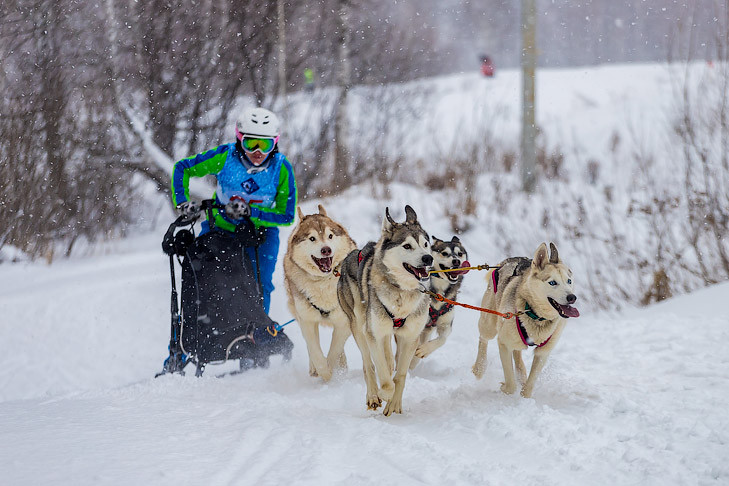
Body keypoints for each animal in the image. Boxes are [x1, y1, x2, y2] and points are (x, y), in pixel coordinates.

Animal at [282, 203, 356, 382]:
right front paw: (323, 372)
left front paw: (331, 372)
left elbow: (334, 350)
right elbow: (315, 351)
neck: (323, 281)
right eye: (312, 238)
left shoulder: (344, 322)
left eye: (330, 236)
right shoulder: (307, 321)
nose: (326, 250)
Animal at [336, 204, 432, 414]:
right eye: (407, 246)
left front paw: (394, 403)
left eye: (426, 244)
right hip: (359, 327)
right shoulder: (373, 333)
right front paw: (385, 393)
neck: (401, 291)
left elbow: (400, 375)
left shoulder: (411, 336)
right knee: (368, 364)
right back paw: (373, 395)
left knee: (388, 359)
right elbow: (382, 372)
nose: (428, 258)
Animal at [412, 235, 470, 368]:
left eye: (460, 254)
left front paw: (424, 350)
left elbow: (442, 339)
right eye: (444, 253)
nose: (456, 261)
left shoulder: (446, 325)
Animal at [472, 243, 580, 398]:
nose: (572, 297)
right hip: (489, 325)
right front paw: (505, 389)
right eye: (552, 282)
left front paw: (524, 396)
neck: (536, 315)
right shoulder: (503, 343)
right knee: (483, 339)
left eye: (569, 281)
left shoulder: (543, 352)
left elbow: (529, 386)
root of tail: (507, 260)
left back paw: (521, 374)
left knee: (517, 352)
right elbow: (510, 384)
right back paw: (479, 368)